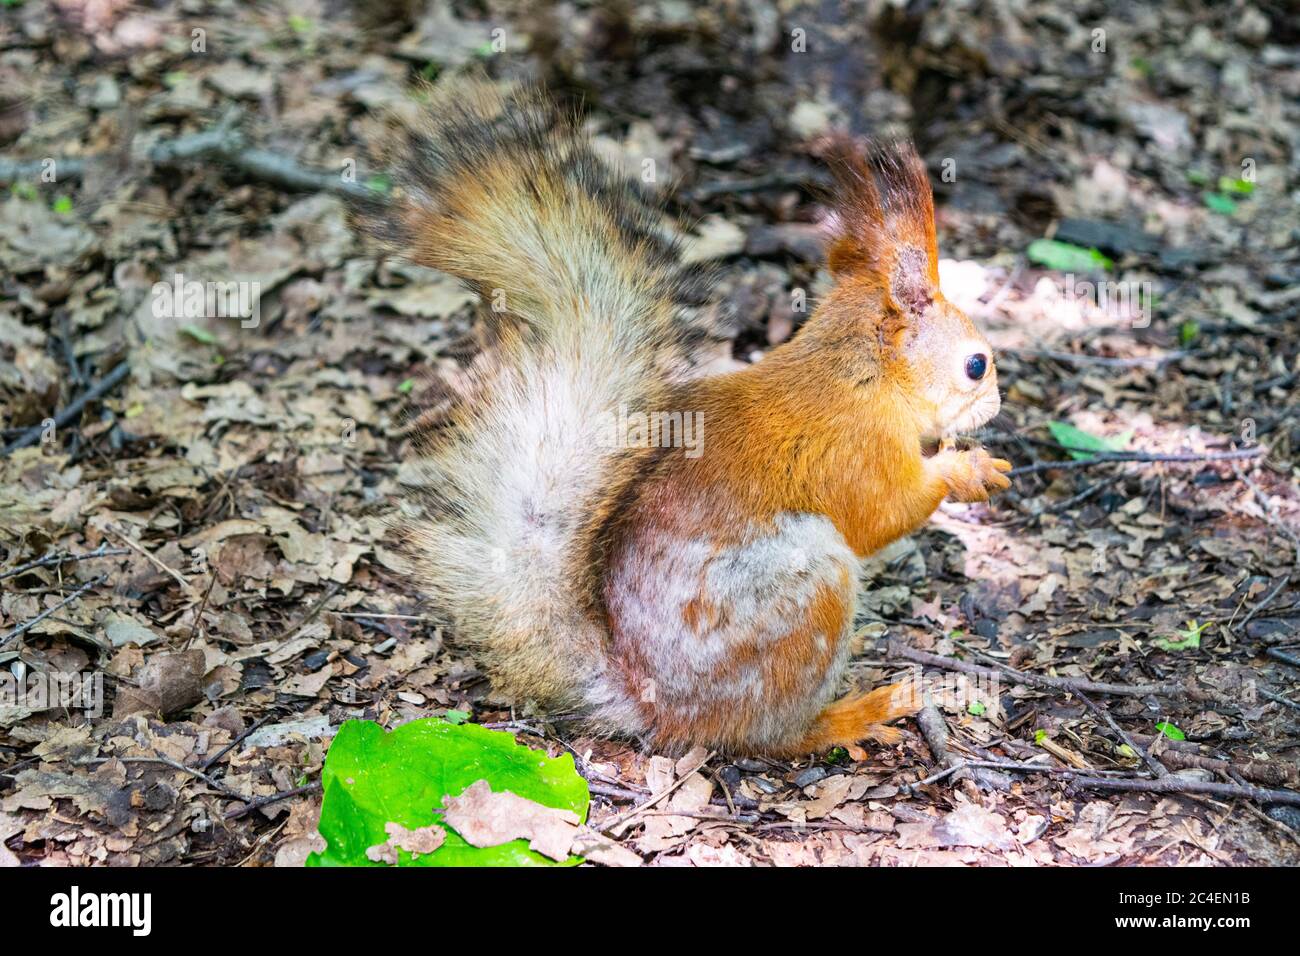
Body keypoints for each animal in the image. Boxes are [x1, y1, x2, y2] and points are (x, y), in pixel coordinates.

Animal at [365, 80, 1011, 757]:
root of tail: (654, 703)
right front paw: (966, 470)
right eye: (975, 365)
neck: (862, 378)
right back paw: (853, 715)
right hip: (801, 589)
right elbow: (881, 514)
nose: (996, 403)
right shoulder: (857, 448)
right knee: (773, 734)